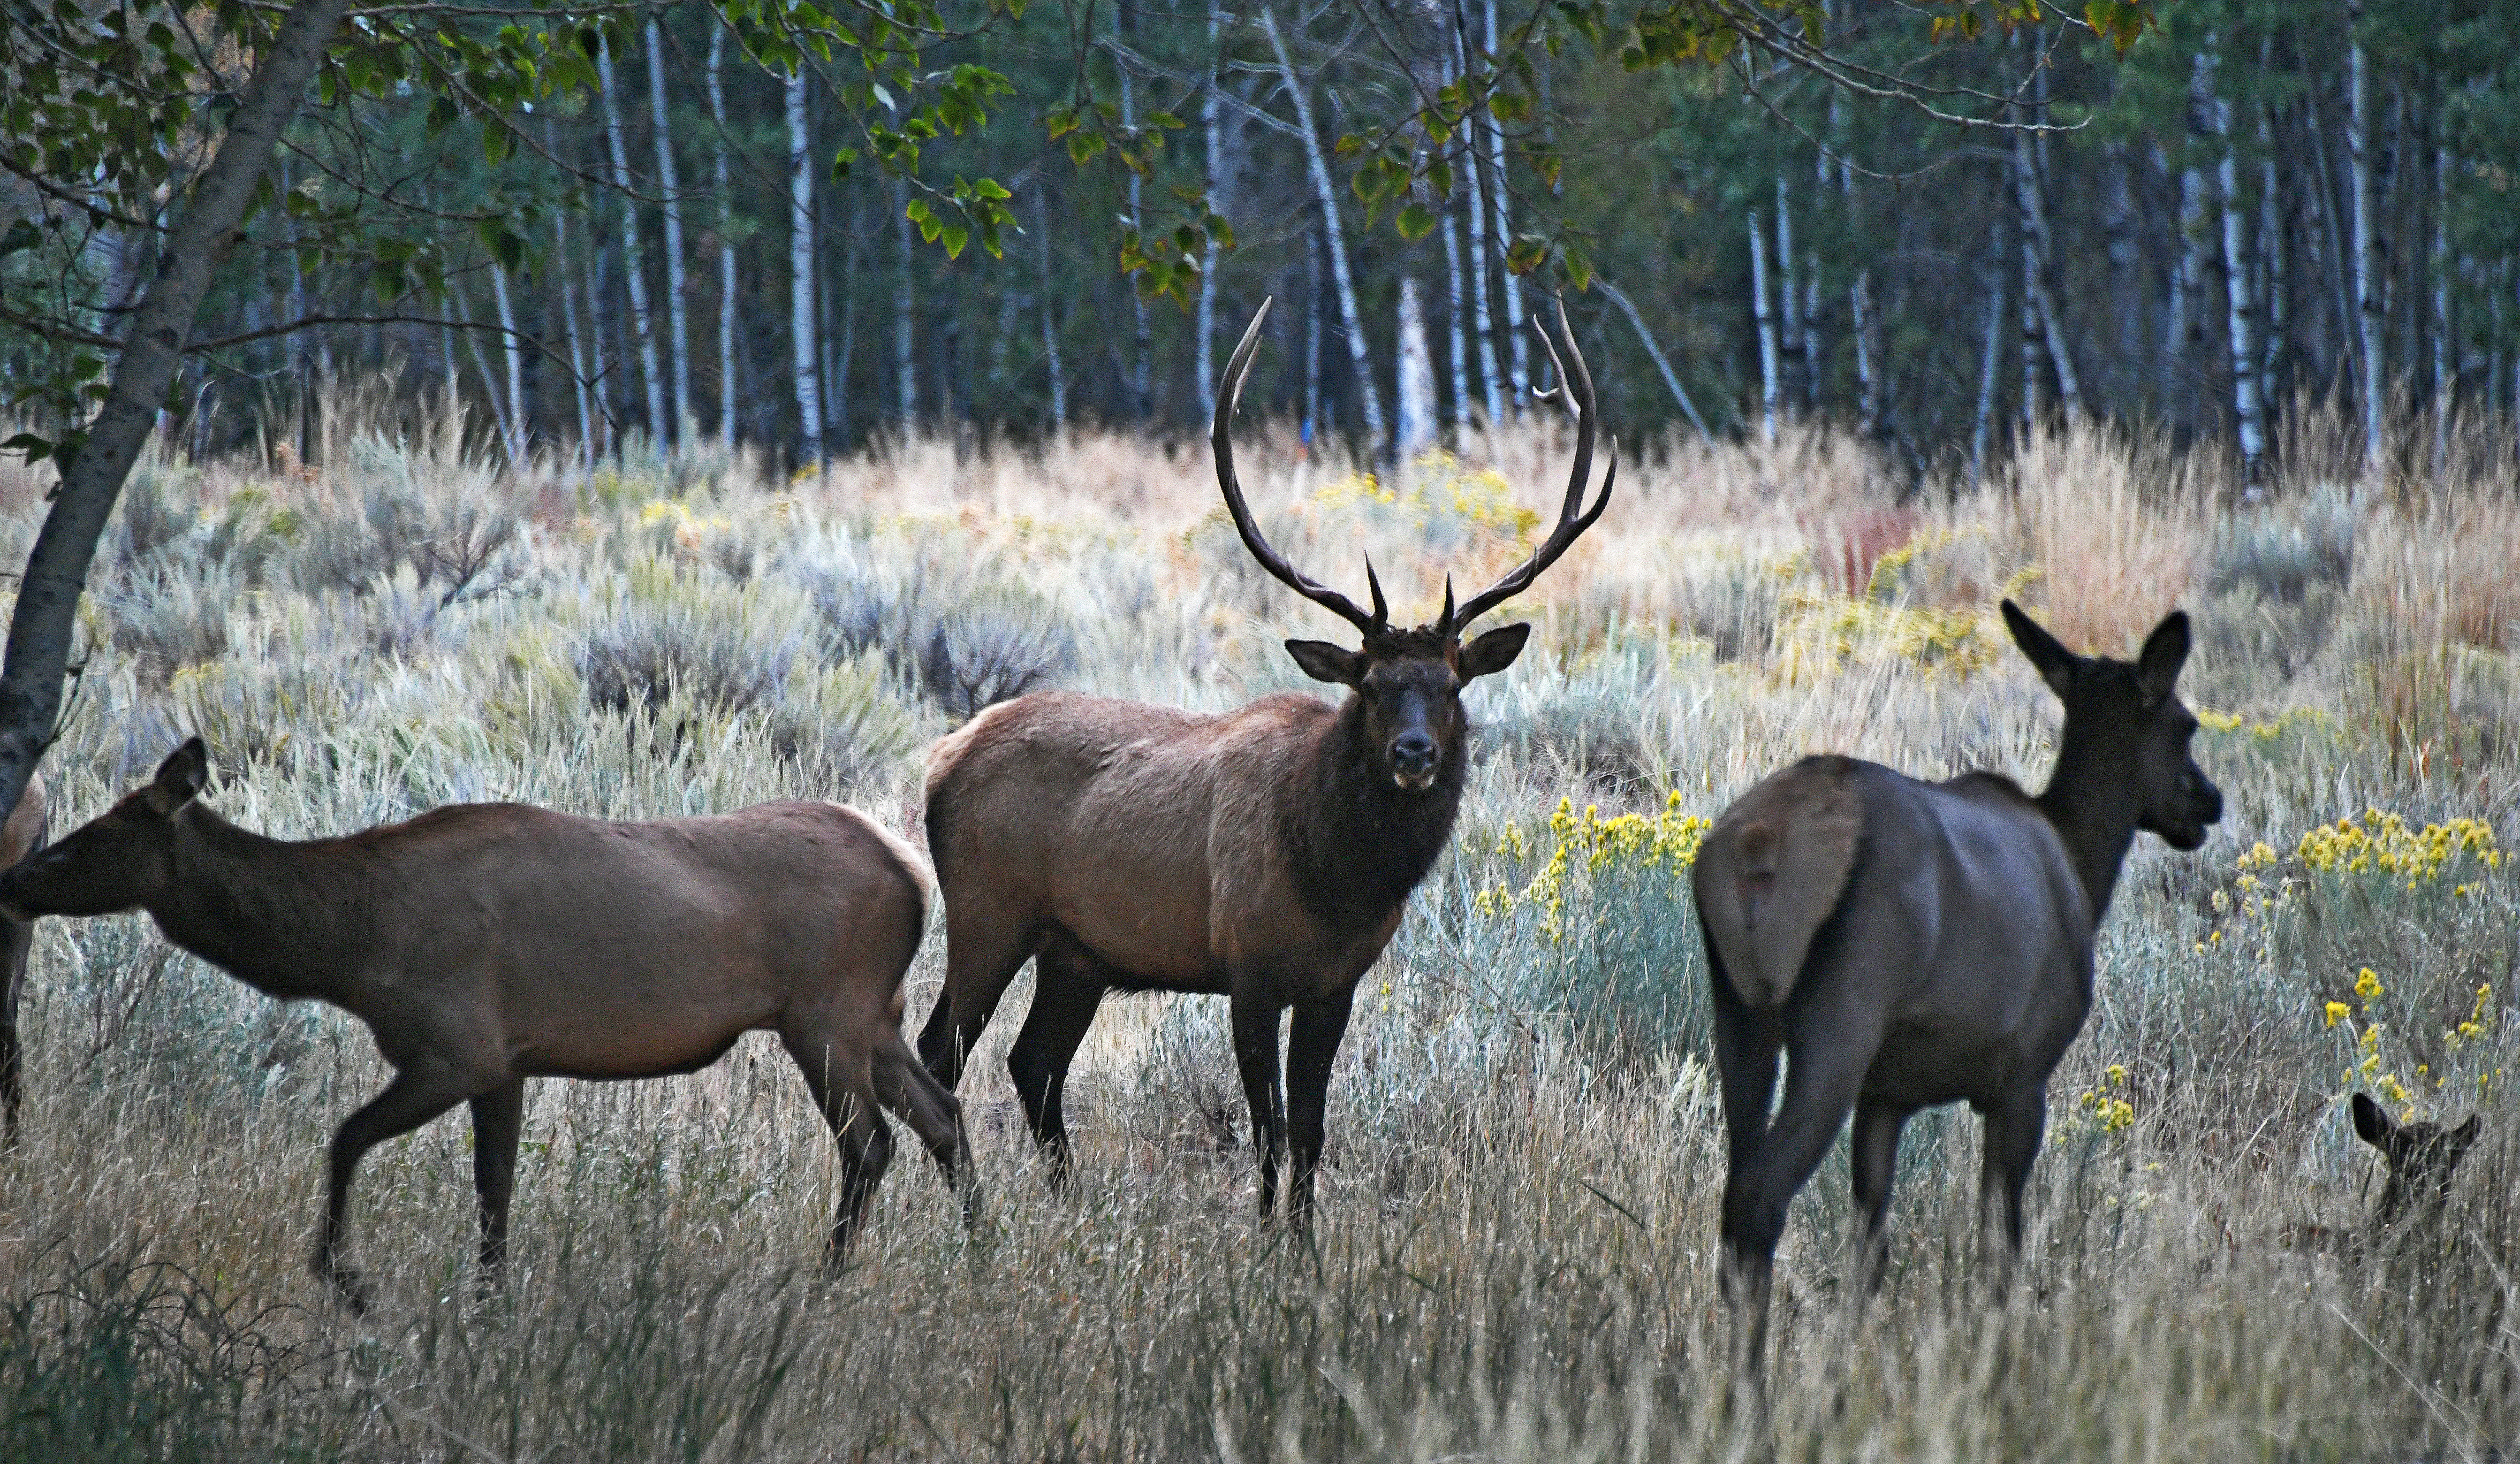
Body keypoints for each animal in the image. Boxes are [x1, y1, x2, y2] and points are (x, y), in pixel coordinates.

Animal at [0, 736, 967, 1310]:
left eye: (89, 838)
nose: (14, 878)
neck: (352, 947)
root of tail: (914, 874)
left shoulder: (455, 1046)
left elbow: (346, 1138)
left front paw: (346, 1279)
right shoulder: (508, 1060)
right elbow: (493, 1187)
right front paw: (489, 1302)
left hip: (824, 1014)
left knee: (871, 1144)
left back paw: (825, 1281)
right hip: (873, 1018)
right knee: (944, 1116)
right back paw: (980, 1251)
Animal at [922, 300, 1613, 1219]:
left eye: (1451, 685)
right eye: (1372, 686)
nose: (1416, 752)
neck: (1336, 882)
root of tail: (939, 760)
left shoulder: (1335, 985)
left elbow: (1313, 1132)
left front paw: (1304, 1240)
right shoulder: (1247, 967)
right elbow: (1268, 1130)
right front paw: (1262, 1238)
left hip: (1076, 952)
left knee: (1032, 1064)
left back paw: (1064, 1203)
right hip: (986, 913)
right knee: (939, 1054)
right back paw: (970, 1214)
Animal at [1693, 599, 2227, 1351]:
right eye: (2186, 725)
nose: (2209, 801)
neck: (2083, 868)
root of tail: (1751, 852)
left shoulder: (1886, 1096)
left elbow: (1870, 1247)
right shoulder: (2024, 1076)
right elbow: (1999, 1249)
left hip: (1739, 1018)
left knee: (1731, 1193)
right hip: (1839, 1021)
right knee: (1758, 1198)